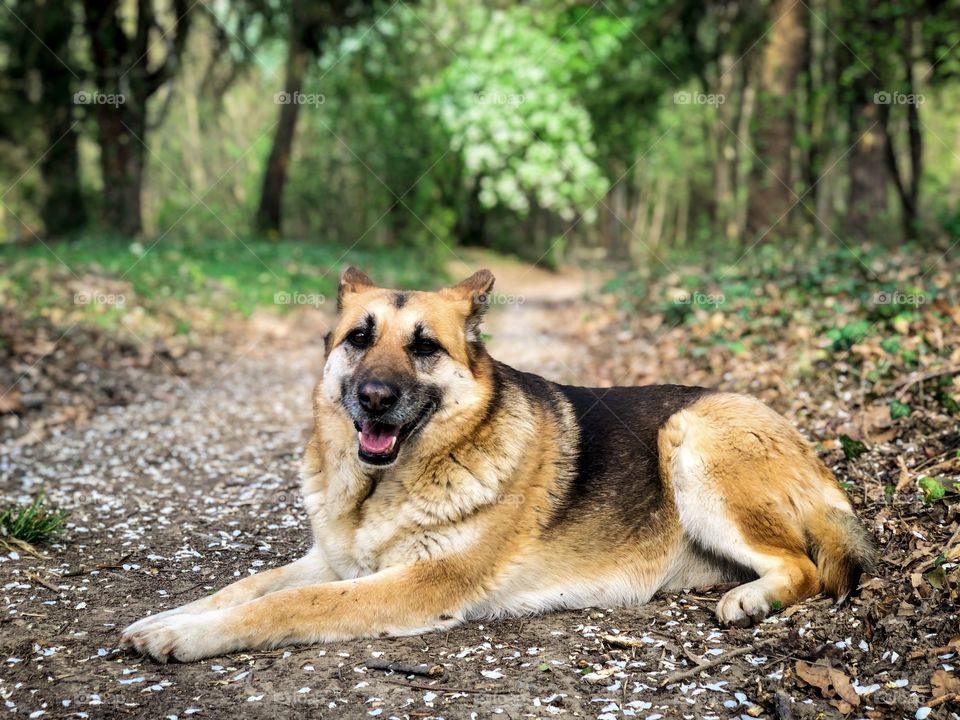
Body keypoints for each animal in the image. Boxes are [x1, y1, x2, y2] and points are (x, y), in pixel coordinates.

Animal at [122, 268, 876, 660]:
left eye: (424, 347)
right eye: (359, 339)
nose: (374, 397)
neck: (381, 489)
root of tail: (811, 453)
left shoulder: (414, 582)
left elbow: (289, 603)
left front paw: (185, 637)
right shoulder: (337, 561)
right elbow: (247, 586)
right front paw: (169, 618)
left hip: (689, 438)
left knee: (806, 567)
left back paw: (751, 599)